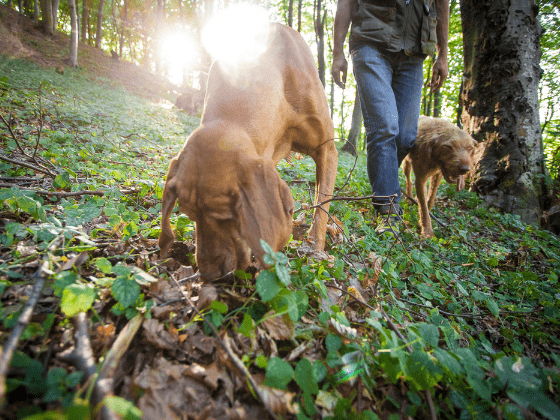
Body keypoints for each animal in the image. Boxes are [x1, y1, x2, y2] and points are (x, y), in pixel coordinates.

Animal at [160, 22, 340, 278]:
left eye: (226, 217)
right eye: (188, 214)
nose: (208, 273)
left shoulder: (327, 152)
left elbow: (321, 209)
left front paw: (316, 251)